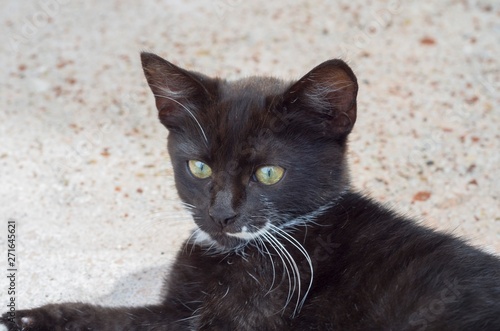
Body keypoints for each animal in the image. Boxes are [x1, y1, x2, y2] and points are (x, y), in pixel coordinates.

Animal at [1, 53, 498, 330]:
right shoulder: (176, 311)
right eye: (199, 167)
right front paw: (29, 318)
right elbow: (115, 319)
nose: (221, 214)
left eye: (269, 174)